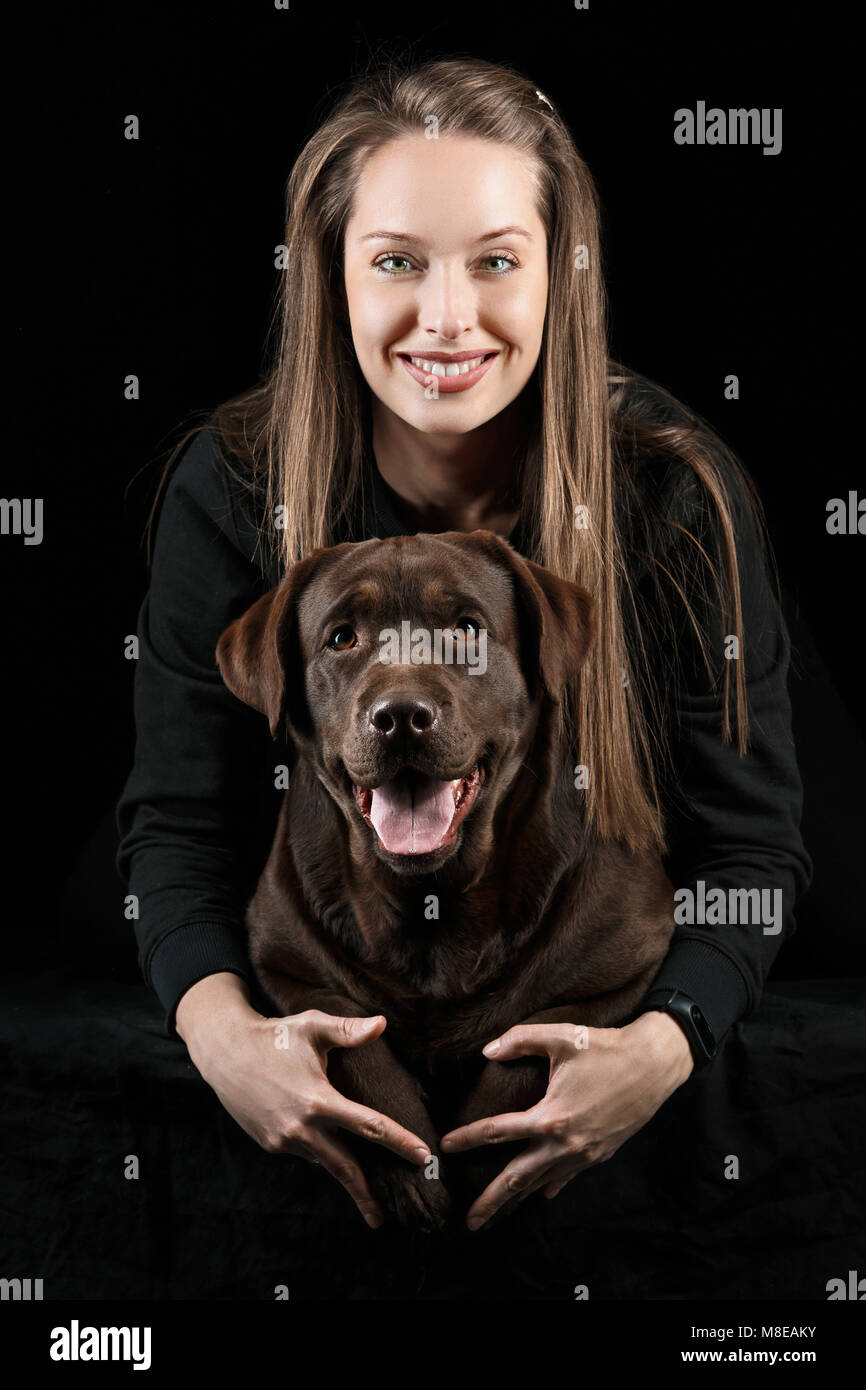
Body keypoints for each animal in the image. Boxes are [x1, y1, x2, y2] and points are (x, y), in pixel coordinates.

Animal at [216, 528, 678, 1228]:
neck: (430, 903)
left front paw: (488, 1160)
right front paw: (414, 1174)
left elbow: (536, 1041)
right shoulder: (283, 960)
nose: (401, 715)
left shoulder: (627, 959)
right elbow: (349, 1034)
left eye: (466, 628)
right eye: (342, 637)